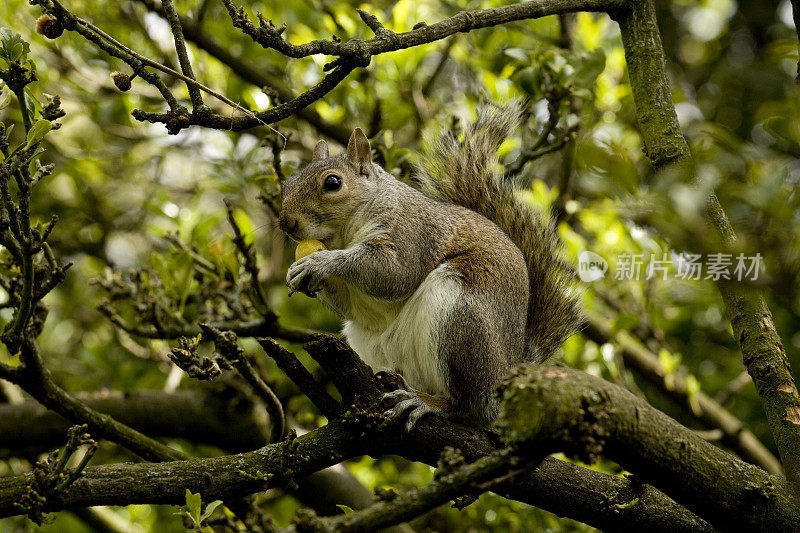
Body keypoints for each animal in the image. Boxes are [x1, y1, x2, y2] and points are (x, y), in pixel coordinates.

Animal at [278, 101, 580, 428]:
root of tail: (506, 378)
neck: (345, 233)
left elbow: (392, 274)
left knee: (471, 405)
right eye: (287, 184)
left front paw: (321, 263)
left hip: (463, 321)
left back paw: (429, 403)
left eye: (333, 183)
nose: (286, 223)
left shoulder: (411, 233)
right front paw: (301, 274)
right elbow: (352, 305)